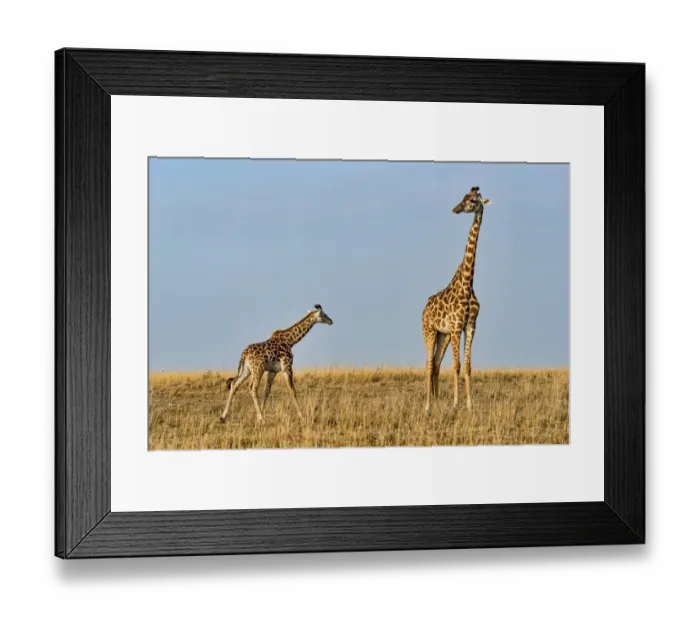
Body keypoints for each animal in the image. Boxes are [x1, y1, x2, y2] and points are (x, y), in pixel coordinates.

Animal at [422, 186, 492, 414]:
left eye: (472, 200)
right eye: (463, 197)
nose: (456, 209)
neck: (468, 283)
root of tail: (424, 309)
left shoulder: (469, 326)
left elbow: (467, 366)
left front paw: (469, 405)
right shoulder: (455, 327)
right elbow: (456, 366)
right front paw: (455, 404)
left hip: (442, 335)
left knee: (435, 364)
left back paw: (435, 403)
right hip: (429, 331)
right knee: (428, 364)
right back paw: (427, 406)